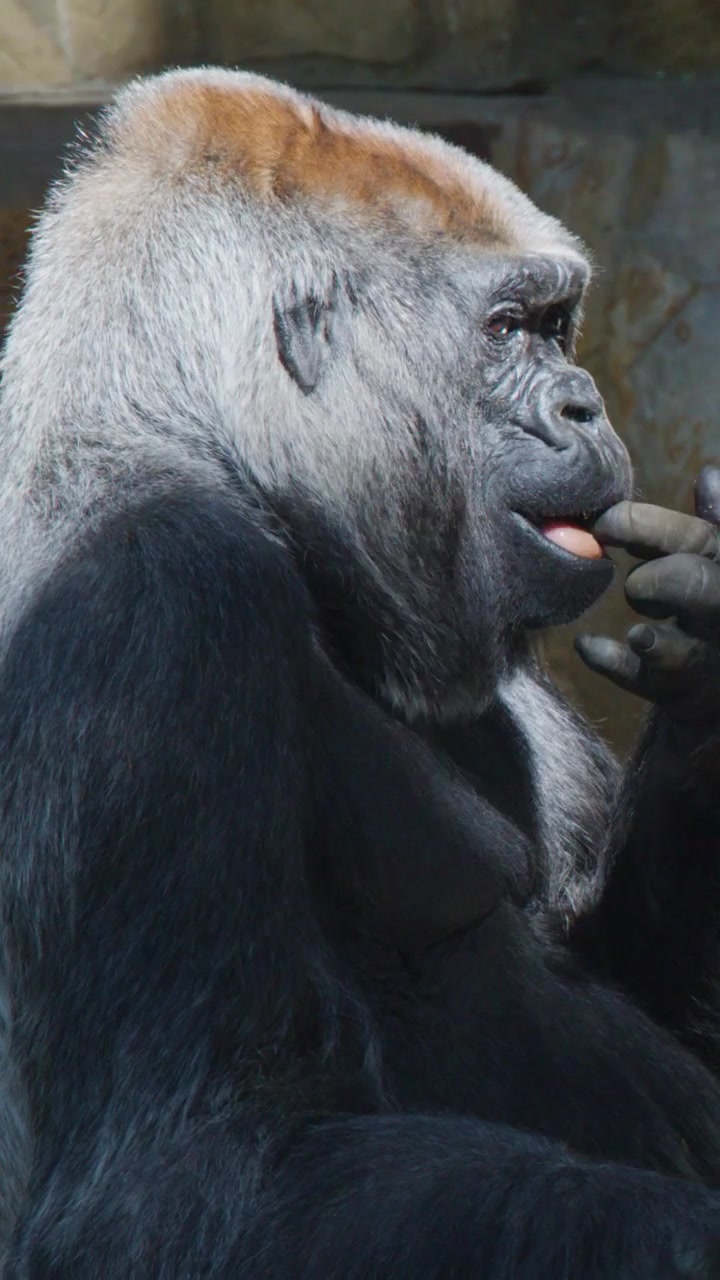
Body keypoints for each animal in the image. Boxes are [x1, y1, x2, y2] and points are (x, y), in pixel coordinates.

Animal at [0, 66, 719, 1277]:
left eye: (558, 325)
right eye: (509, 329)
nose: (586, 403)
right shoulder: (154, 595)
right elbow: (172, 1181)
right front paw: (680, 1235)